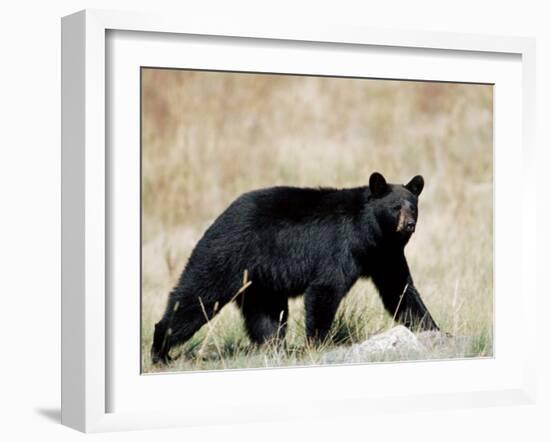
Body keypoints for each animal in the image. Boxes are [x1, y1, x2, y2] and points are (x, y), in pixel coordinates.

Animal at [153, 172, 442, 362]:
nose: (409, 225)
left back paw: (273, 348)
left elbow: (400, 291)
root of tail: (220, 217)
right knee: (197, 297)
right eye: (395, 207)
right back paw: (160, 351)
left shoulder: (385, 255)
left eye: (413, 207)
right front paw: (317, 344)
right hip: (225, 257)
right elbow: (325, 289)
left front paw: (435, 331)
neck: (370, 235)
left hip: (261, 282)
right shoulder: (340, 247)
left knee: (267, 316)